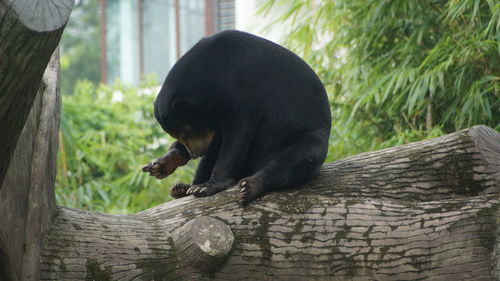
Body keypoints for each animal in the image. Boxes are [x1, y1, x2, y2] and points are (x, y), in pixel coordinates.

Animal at [142, 30, 332, 203]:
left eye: (189, 132)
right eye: (180, 135)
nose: (196, 153)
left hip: (301, 139)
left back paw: (249, 186)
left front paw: (208, 186)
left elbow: (238, 135)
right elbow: (218, 141)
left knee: (298, 158)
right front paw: (160, 164)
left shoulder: (241, 91)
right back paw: (182, 188)